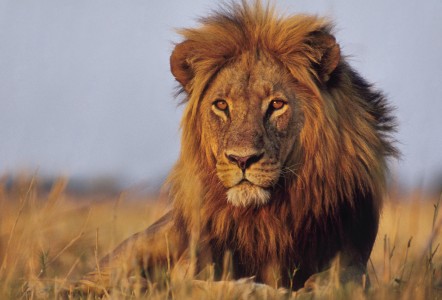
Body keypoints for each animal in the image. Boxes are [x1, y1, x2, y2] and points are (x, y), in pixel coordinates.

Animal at [77, 0, 398, 296]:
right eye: (221, 105)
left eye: (276, 104)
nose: (242, 160)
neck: (266, 216)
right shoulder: (194, 261)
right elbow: (193, 285)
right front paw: (256, 290)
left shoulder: (352, 257)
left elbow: (339, 282)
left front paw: (308, 289)